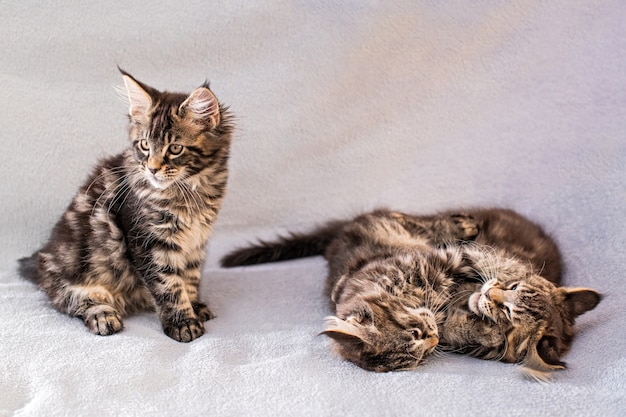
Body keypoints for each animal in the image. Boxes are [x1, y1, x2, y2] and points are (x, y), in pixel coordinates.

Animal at [21, 69, 234, 342]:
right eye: (144, 145)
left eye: (175, 149)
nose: (152, 169)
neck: (191, 190)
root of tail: (42, 257)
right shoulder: (149, 242)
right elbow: (169, 286)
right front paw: (183, 323)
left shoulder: (196, 243)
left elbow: (189, 279)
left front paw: (195, 306)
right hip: (73, 275)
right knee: (73, 300)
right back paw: (103, 317)